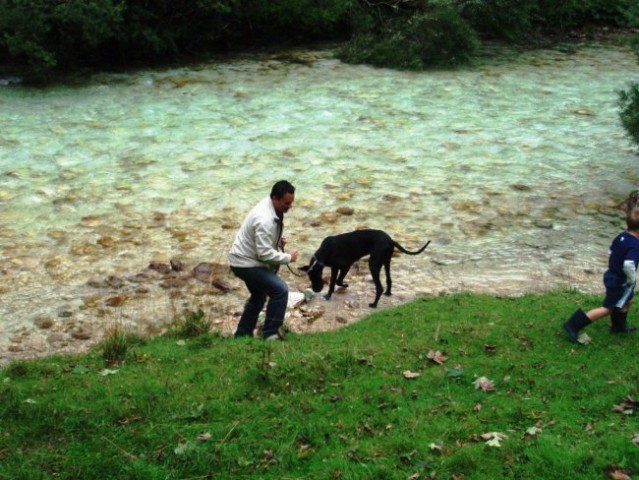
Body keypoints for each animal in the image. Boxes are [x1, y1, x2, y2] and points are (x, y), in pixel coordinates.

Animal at [300, 229, 430, 308]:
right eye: (310, 278)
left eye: (317, 276)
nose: (316, 290)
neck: (325, 251)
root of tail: (390, 240)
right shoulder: (342, 267)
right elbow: (338, 281)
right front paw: (344, 285)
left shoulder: (341, 266)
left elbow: (334, 282)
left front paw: (329, 295)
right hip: (386, 262)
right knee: (389, 280)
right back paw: (388, 293)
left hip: (374, 264)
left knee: (379, 287)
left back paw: (374, 304)